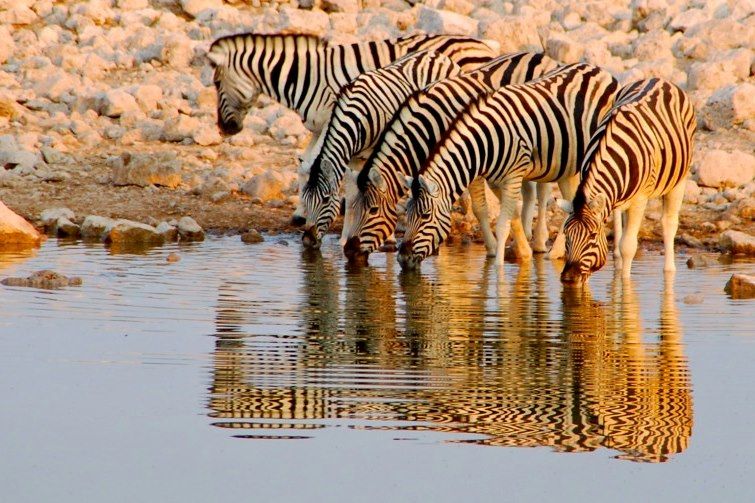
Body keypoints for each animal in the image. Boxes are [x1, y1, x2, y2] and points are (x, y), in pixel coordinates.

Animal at [207, 33, 502, 158]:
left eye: (217, 83)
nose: (223, 129)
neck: (306, 75)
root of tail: (482, 45)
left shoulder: (332, 118)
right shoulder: (319, 127)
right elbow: (307, 163)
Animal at [296, 48, 466, 249]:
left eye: (325, 199)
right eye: (305, 198)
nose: (307, 241)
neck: (355, 118)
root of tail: (438, 54)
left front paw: (389, 238)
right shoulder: (353, 158)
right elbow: (352, 196)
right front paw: (345, 238)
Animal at [338, 51, 560, 266]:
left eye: (373, 210)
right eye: (353, 207)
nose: (349, 251)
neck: (429, 125)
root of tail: (542, 56)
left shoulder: (471, 160)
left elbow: (479, 208)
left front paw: (492, 249)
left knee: (544, 190)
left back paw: (541, 242)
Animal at [398, 64, 616, 272]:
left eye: (425, 216)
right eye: (407, 213)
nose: (402, 258)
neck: (486, 142)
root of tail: (598, 69)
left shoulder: (513, 175)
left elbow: (503, 224)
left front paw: (498, 269)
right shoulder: (496, 180)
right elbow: (514, 217)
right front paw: (524, 253)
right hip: (567, 166)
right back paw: (555, 253)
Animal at [560, 78, 692, 284]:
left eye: (592, 236)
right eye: (566, 235)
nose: (568, 278)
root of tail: (659, 80)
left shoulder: (640, 200)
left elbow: (628, 246)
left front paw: (625, 283)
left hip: (679, 179)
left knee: (669, 223)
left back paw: (669, 270)